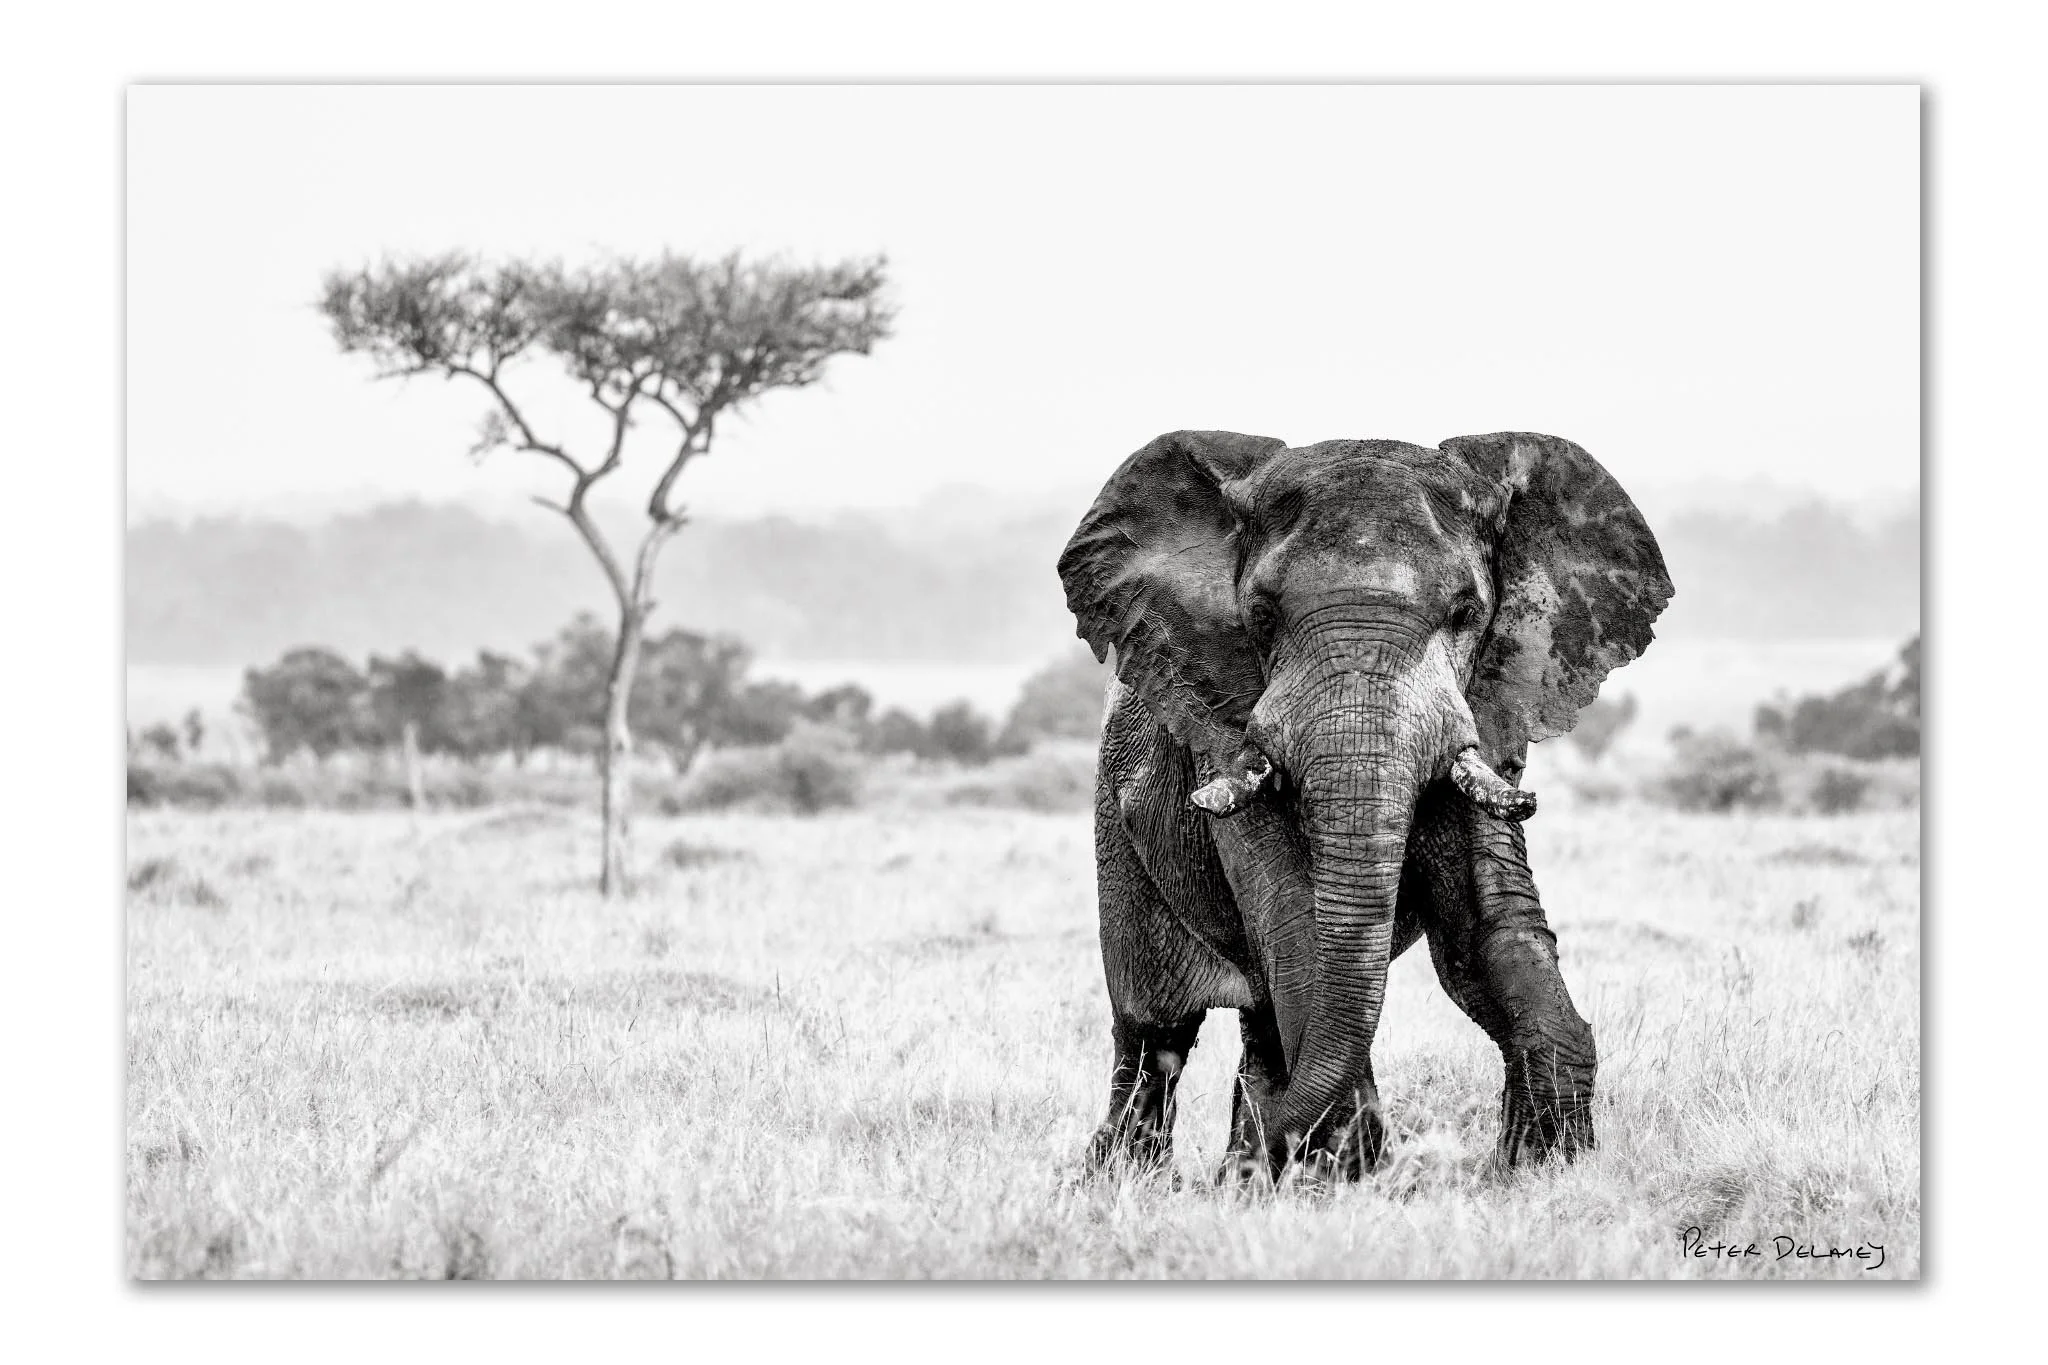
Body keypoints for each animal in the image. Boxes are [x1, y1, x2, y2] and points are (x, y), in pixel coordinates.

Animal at [1057, 430, 1673, 1182]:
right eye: (1261, 616)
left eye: (1466, 613)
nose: (1414, 1149)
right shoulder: (1224, 729)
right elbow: (1295, 920)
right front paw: (1356, 1162)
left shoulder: (1489, 710)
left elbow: (1485, 929)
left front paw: (1542, 1164)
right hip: (1116, 831)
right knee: (1154, 1031)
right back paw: (1136, 1178)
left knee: (1259, 1023)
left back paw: (1247, 1170)